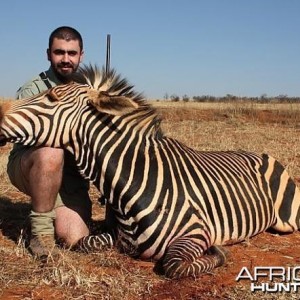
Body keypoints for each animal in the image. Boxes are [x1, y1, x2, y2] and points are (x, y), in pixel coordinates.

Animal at [0, 65, 298, 278]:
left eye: (51, 97)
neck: (132, 185)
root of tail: (258, 153)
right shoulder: (115, 236)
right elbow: (83, 242)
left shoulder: (196, 232)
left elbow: (175, 266)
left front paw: (219, 253)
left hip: (286, 221)